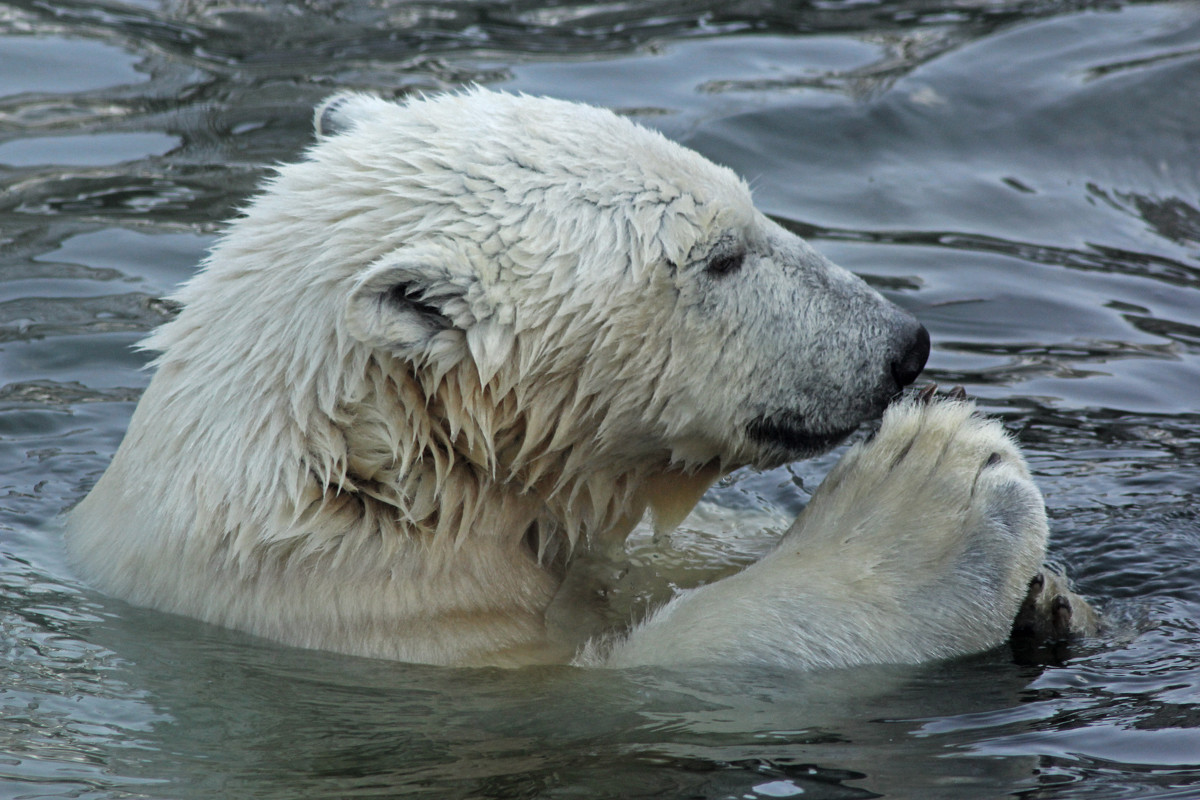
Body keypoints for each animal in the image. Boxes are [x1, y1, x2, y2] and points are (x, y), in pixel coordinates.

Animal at [65, 89, 1080, 671]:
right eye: (721, 257)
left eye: (751, 210)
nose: (904, 345)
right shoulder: (390, 628)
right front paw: (942, 494)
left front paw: (1052, 600)